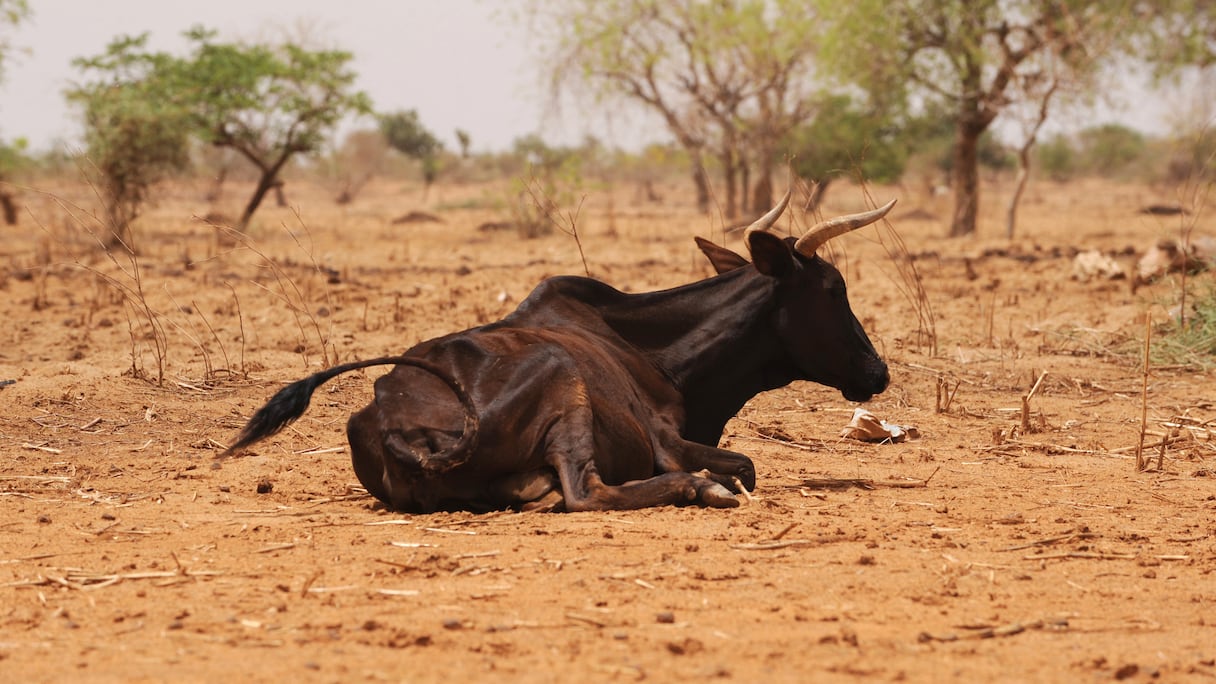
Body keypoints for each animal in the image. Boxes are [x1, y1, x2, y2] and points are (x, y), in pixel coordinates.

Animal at [224, 190, 895, 513]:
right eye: (833, 289)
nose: (878, 370)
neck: (651, 349)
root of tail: (393, 422)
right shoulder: (666, 441)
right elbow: (744, 465)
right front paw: (711, 481)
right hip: (564, 389)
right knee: (584, 493)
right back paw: (700, 490)